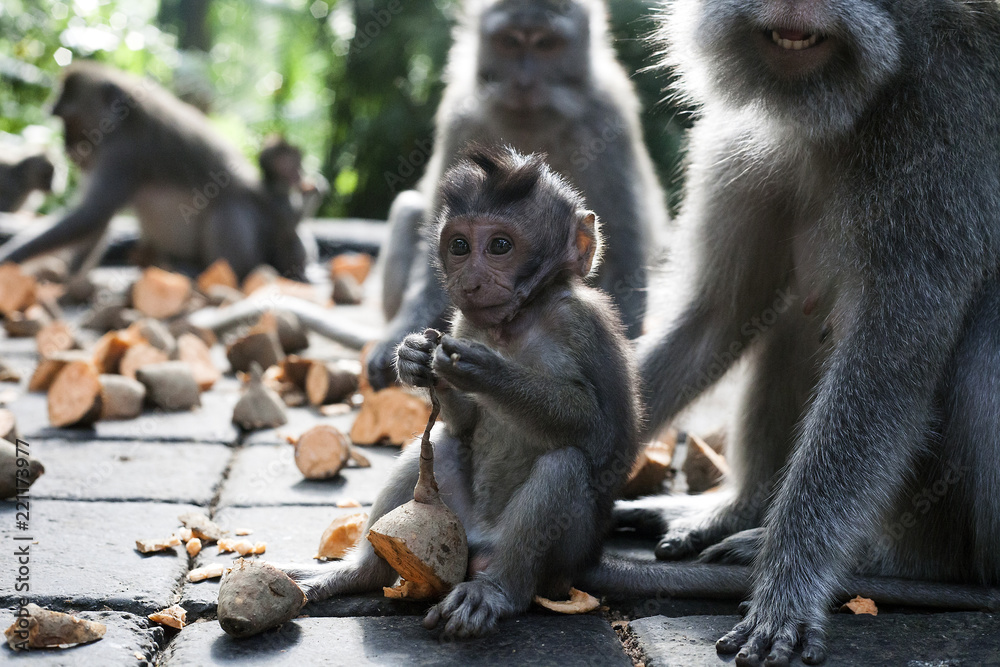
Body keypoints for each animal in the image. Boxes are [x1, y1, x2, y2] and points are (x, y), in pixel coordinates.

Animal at [0, 61, 307, 281]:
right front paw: (67, 278)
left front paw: (9, 258)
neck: (122, 120)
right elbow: (95, 223)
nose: (67, 148)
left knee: (228, 208)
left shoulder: (122, 153)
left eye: (67, 119)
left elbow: (92, 215)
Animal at [277, 145, 642, 638]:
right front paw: (413, 357)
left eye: (500, 246)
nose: (468, 281)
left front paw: (486, 370)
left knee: (562, 465)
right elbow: (465, 425)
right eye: (460, 246)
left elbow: (600, 432)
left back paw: (495, 591)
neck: (516, 324)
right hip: (457, 525)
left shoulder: (582, 325)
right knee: (443, 446)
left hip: (562, 560)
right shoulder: (465, 321)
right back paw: (358, 572)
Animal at [366, 0, 670, 390]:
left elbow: (624, 251)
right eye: (509, 42)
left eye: (546, 45)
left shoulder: (607, 117)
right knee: (409, 210)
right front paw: (402, 345)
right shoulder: (459, 116)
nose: (524, 83)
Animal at [609, 0, 1000, 664]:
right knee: (795, 312)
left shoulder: (942, 154)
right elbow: (718, 316)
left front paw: (789, 588)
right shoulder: (746, 146)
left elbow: (884, 369)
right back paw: (736, 511)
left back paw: (908, 563)